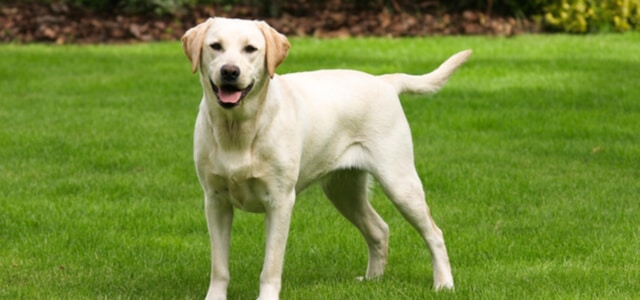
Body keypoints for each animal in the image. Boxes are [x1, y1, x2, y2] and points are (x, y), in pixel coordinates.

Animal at [180, 17, 470, 298]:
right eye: (215, 46)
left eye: (250, 49)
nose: (230, 71)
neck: (238, 129)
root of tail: (385, 81)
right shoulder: (215, 201)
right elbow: (219, 267)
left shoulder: (280, 201)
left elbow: (271, 266)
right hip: (343, 190)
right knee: (379, 229)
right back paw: (372, 280)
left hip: (399, 182)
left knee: (434, 233)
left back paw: (444, 284)